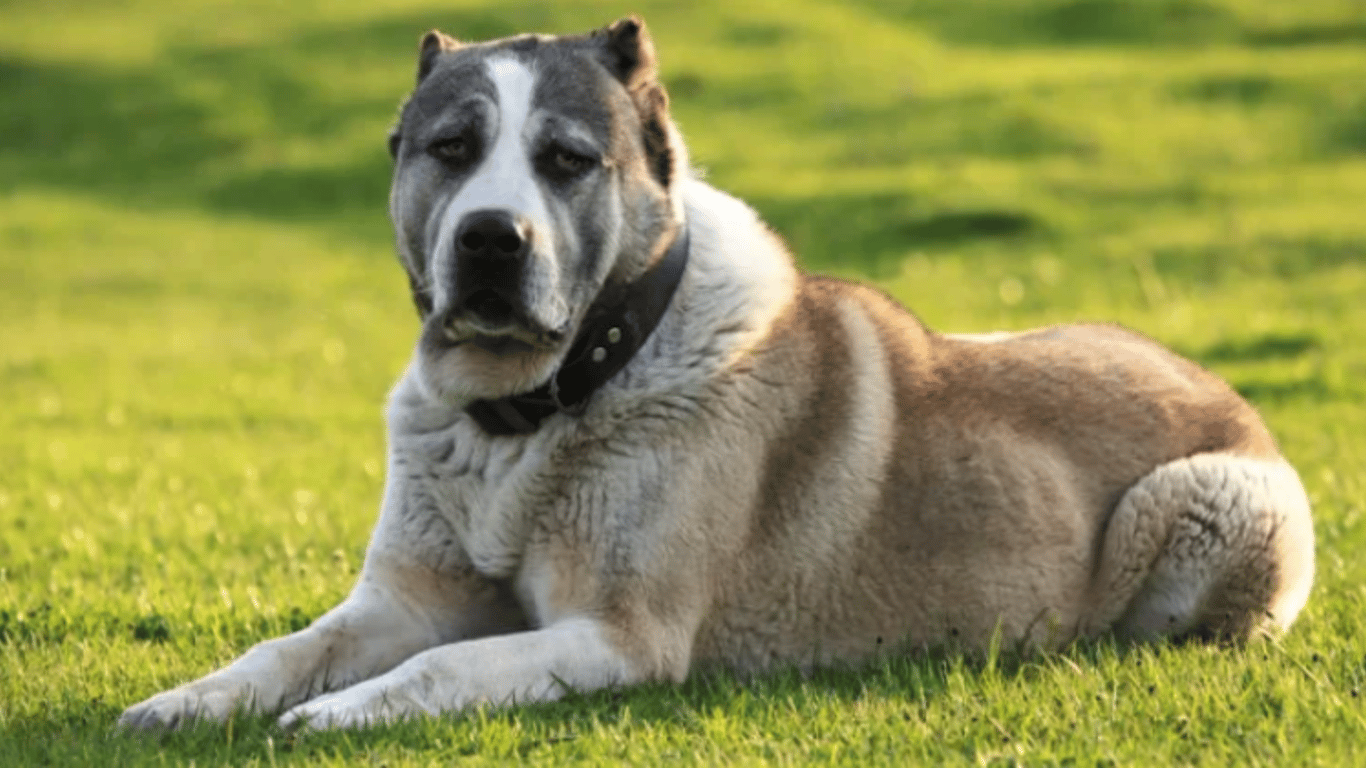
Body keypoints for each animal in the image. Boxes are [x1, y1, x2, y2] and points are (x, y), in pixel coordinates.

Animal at [117, 14, 1311, 727]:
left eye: (566, 161)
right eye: (449, 149)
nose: (492, 241)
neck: (533, 408)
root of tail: (1225, 392)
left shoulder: (618, 636)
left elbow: (442, 666)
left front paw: (331, 718)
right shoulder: (402, 600)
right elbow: (286, 647)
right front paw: (188, 701)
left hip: (1205, 500)